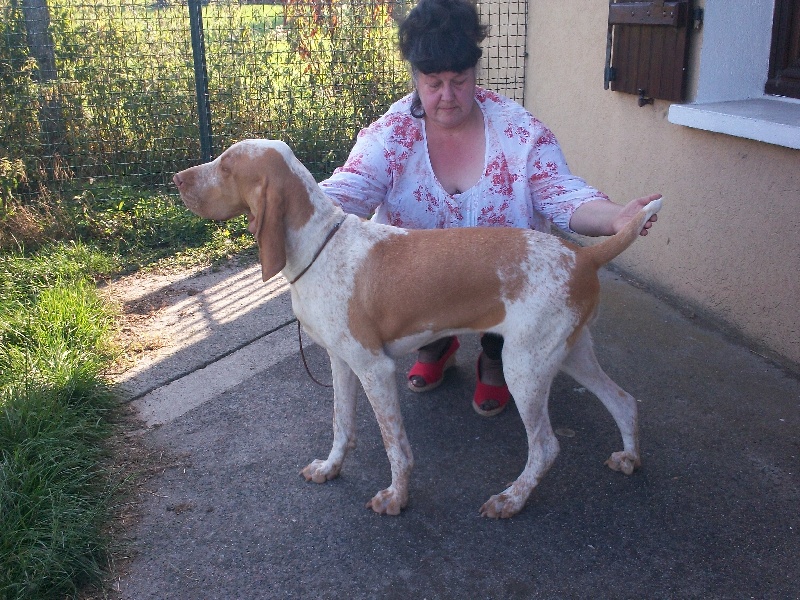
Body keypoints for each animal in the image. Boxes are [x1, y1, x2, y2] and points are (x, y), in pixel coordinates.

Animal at [172, 138, 660, 516]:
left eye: (227, 165)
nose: (176, 178)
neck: (318, 245)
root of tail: (583, 256)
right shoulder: (341, 362)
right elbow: (341, 425)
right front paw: (331, 468)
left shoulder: (375, 369)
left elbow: (396, 446)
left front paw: (396, 498)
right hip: (568, 354)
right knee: (624, 402)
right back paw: (629, 458)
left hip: (524, 367)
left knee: (545, 447)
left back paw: (511, 500)